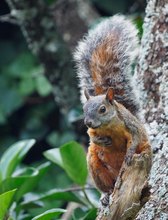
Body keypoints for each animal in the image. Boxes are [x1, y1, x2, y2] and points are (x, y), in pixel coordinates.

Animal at [73, 15, 152, 193]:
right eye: (84, 109)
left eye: (102, 109)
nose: (88, 122)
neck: (108, 126)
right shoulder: (92, 131)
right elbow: (92, 137)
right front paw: (102, 141)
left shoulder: (131, 126)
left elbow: (135, 138)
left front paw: (129, 154)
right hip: (94, 164)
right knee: (106, 185)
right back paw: (107, 194)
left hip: (146, 153)